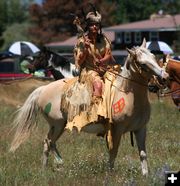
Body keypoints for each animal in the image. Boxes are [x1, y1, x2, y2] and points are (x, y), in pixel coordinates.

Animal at [9, 39, 169, 176]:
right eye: (142, 63)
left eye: (154, 57)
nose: (164, 78)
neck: (126, 93)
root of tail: (42, 89)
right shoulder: (116, 130)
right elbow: (113, 152)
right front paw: (110, 174)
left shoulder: (140, 129)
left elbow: (143, 153)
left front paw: (145, 175)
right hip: (58, 124)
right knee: (49, 141)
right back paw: (58, 163)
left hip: (56, 126)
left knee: (47, 142)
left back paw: (45, 168)